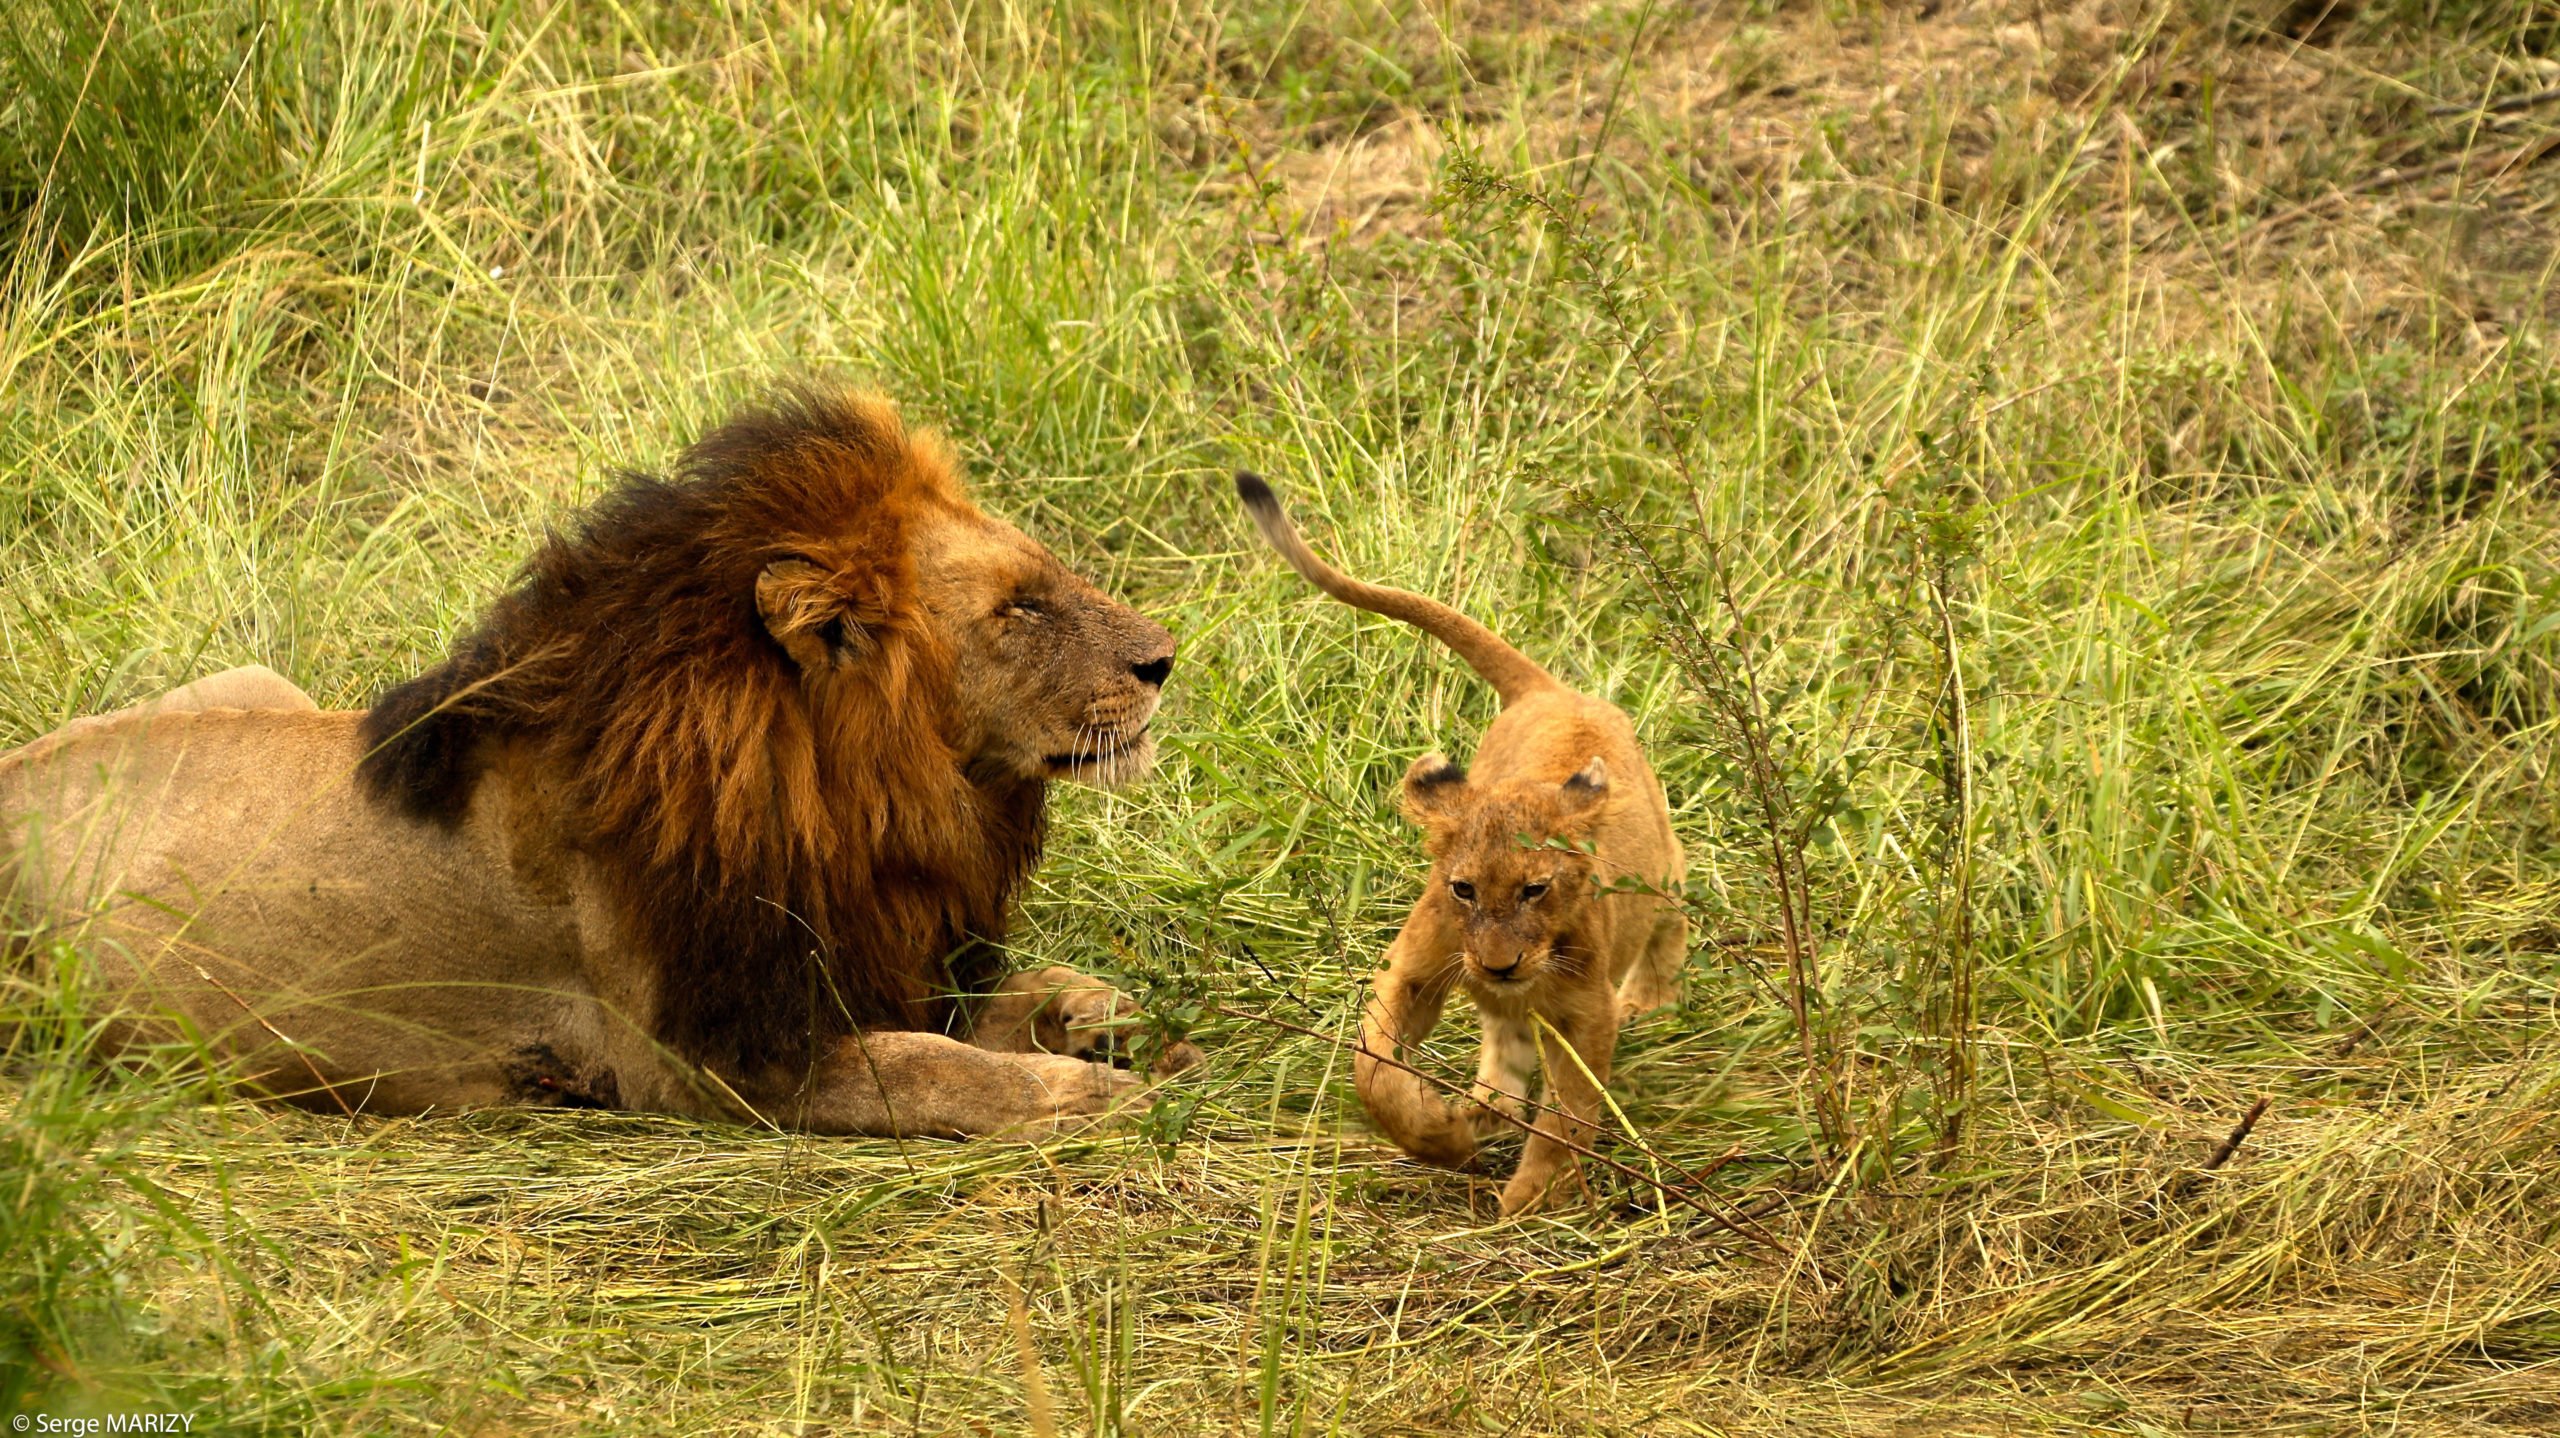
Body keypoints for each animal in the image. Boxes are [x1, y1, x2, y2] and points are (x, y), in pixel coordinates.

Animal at [0, 381, 1192, 1130]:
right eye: (1017, 609)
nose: (1165, 660)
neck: (863, 803)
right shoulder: (712, 1061)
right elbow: (937, 1068)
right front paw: (1087, 1096)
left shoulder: (870, 961)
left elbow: (1009, 1000)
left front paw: (1111, 1022)